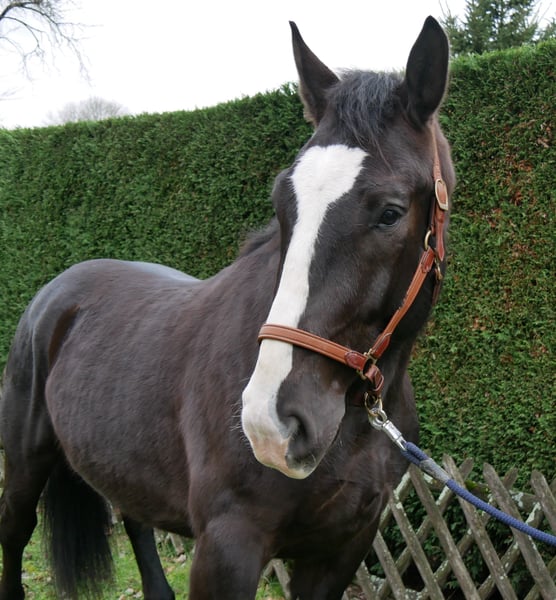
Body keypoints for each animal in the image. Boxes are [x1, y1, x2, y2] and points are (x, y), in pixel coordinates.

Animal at [0, 17, 454, 600]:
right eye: (283, 202)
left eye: (391, 213)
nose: (271, 423)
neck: (355, 424)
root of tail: (54, 293)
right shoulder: (228, 546)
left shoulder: (342, 549)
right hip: (25, 462)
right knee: (14, 532)